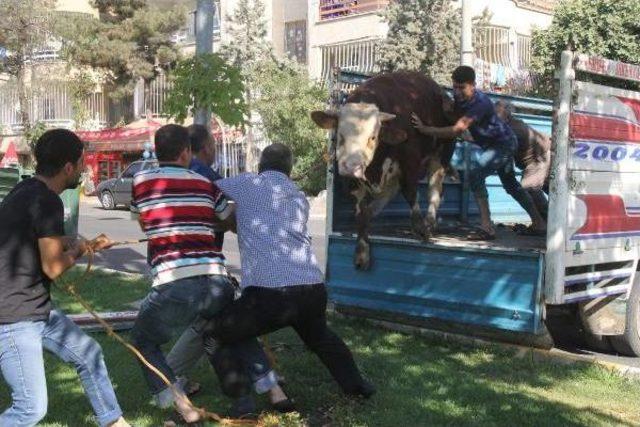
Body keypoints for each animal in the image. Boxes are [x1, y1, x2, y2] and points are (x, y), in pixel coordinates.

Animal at [312, 71, 456, 270]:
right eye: (341, 135)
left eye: (373, 137)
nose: (351, 167)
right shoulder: (355, 184)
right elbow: (362, 212)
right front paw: (362, 251)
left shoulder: (409, 163)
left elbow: (411, 193)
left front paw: (419, 227)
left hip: (441, 154)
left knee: (434, 189)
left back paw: (429, 221)